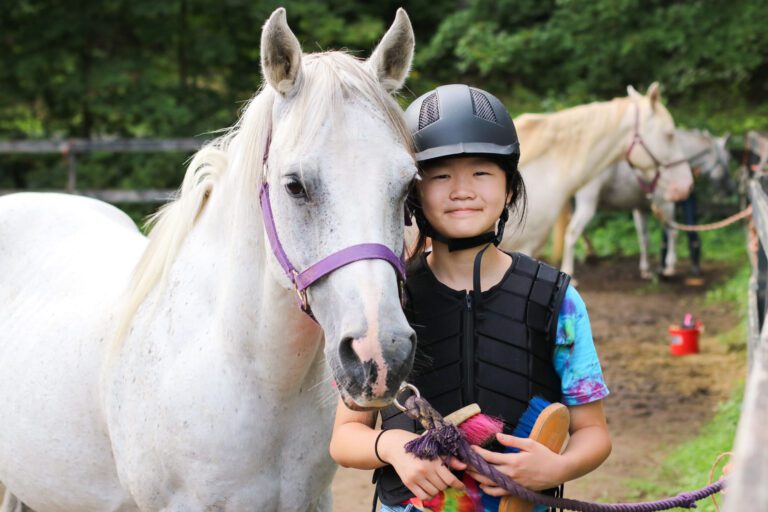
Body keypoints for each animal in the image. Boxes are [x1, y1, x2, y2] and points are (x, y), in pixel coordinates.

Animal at [560, 129, 730, 280]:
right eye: (725, 159)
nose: (730, 188)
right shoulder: (666, 203)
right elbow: (672, 232)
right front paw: (669, 267)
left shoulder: (641, 208)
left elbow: (644, 237)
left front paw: (646, 270)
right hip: (587, 202)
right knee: (572, 233)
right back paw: (572, 272)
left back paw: (590, 255)